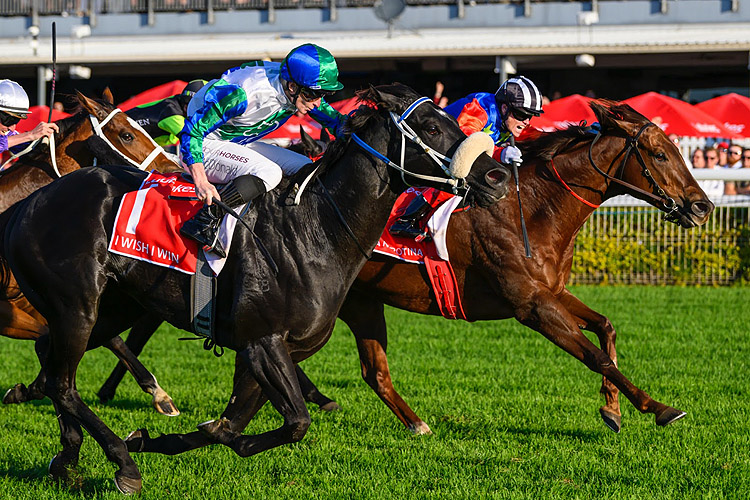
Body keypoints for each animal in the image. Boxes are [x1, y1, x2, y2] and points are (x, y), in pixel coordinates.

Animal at [0, 84, 512, 494]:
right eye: (431, 125)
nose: (498, 176)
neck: (314, 232)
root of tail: (27, 204)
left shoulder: (267, 350)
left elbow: (231, 423)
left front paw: (154, 436)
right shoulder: (264, 342)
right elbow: (293, 423)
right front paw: (150, 444)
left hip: (112, 306)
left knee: (51, 365)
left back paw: (66, 454)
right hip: (77, 306)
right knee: (63, 384)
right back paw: (120, 464)